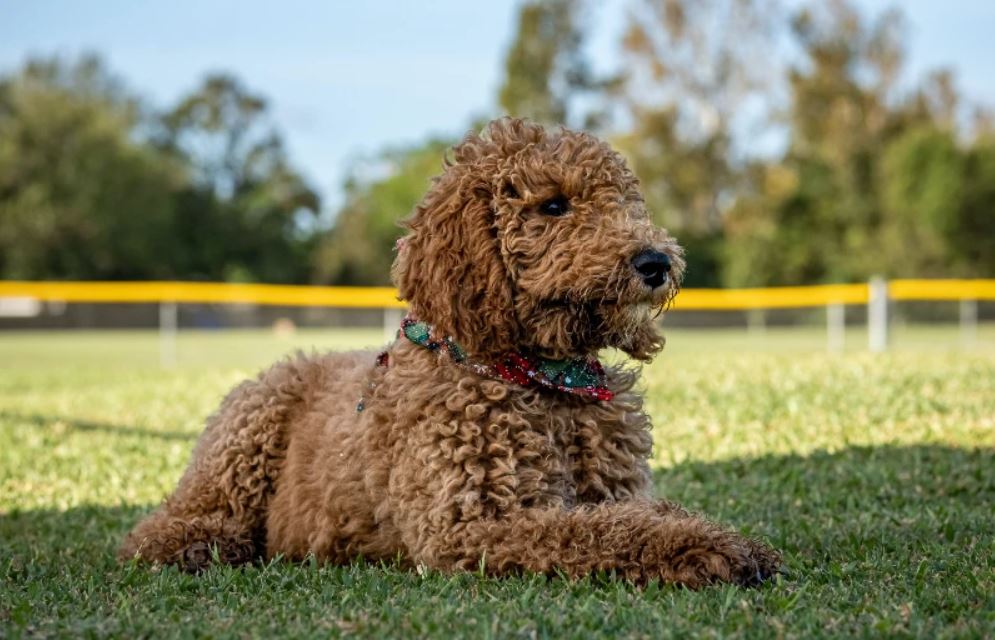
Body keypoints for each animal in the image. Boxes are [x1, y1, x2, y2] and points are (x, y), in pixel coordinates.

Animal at [120, 117, 784, 588]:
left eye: (623, 201)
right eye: (553, 205)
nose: (656, 262)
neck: (546, 381)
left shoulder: (617, 493)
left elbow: (639, 514)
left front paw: (720, 536)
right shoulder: (471, 525)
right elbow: (600, 534)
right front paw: (707, 549)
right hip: (245, 432)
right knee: (162, 526)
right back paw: (192, 545)